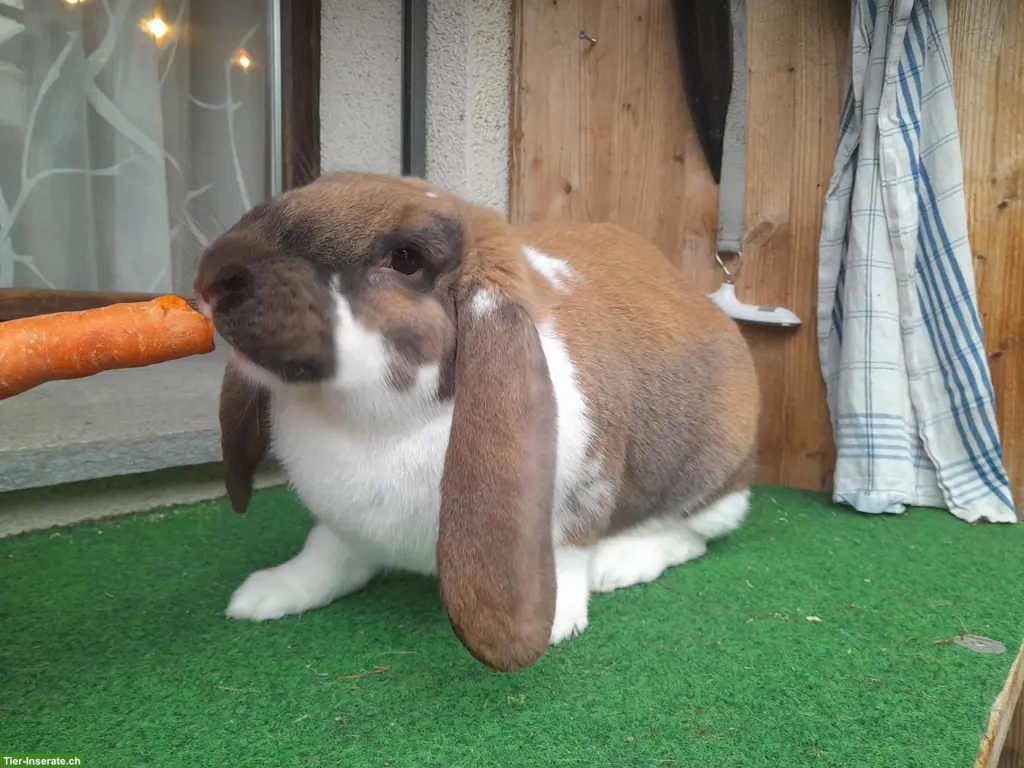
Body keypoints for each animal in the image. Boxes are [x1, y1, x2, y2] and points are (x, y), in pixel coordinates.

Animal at [193, 170, 761, 672]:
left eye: (406, 258)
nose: (213, 276)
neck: (374, 428)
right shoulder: (343, 527)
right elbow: (324, 555)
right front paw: (265, 594)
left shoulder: (583, 494)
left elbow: (570, 551)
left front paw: (557, 621)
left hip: (712, 473)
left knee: (696, 531)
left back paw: (622, 564)